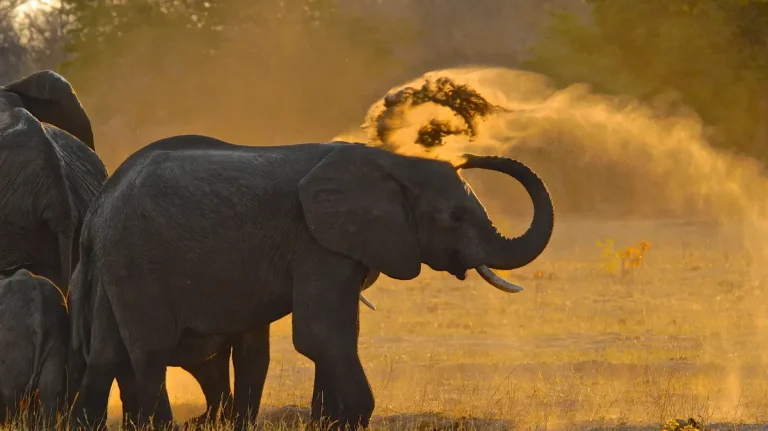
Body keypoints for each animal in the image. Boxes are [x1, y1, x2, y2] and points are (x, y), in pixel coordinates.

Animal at [69, 136, 556, 431]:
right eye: (454, 217)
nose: (471, 156)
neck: (392, 163)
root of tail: (96, 209)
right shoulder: (316, 243)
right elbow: (322, 335)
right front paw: (352, 419)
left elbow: (331, 337)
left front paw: (328, 421)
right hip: (139, 259)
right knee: (149, 353)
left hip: (116, 264)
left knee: (106, 355)